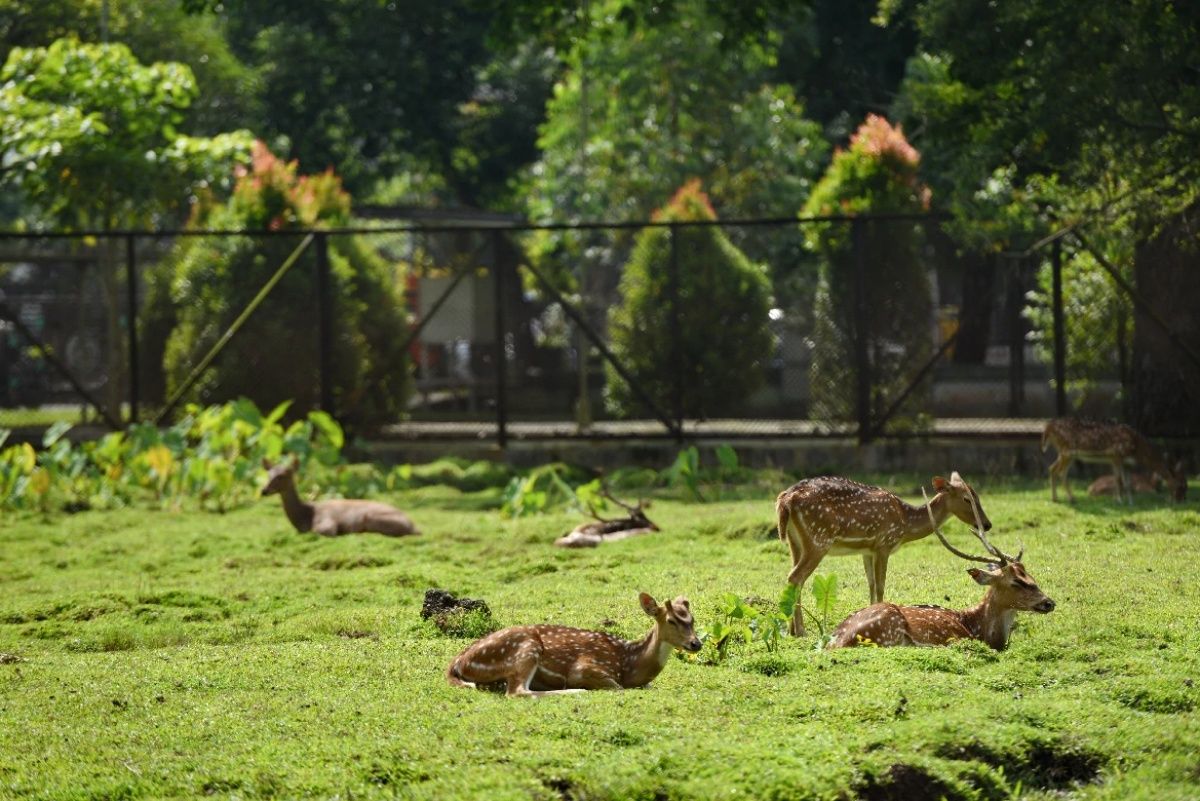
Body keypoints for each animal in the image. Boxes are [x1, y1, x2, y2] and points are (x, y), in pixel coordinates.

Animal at [260, 455, 420, 537]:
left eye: (282, 476)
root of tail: (414, 526)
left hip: (371, 518)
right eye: (268, 474)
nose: (264, 490)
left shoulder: (327, 521)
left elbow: (321, 531)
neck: (304, 519)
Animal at [446, 592, 700, 695]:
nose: (696, 644)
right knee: (517, 692)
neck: (628, 664)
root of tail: (457, 662)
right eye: (671, 620)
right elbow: (617, 688)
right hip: (526, 648)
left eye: (692, 619)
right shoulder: (585, 667)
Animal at [777, 472, 993, 633]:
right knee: (796, 577)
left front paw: (867, 615)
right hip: (818, 539)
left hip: (794, 542)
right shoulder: (884, 542)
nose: (987, 524)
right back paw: (800, 631)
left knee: (794, 578)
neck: (906, 523)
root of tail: (786, 499)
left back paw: (791, 629)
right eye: (967, 499)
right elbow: (881, 585)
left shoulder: (867, 549)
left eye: (978, 497)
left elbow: (871, 584)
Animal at [830, 489, 1056, 652]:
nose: (1049, 603)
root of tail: (835, 642)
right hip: (888, 629)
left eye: (1031, 576)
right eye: (1016, 582)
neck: (977, 629)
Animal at [1036, 417, 1185, 503]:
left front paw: (1129, 502)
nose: (1180, 500)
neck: (1136, 448)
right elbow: (1119, 480)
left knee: (1054, 469)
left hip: (1068, 454)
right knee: (1058, 471)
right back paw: (1065, 499)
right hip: (1067, 450)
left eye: (1186, 485)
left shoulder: (1125, 462)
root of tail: (1048, 428)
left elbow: (1126, 483)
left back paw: (1060, 498)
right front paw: (1119, 500)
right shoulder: (1116, 454)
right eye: (1180, 485)